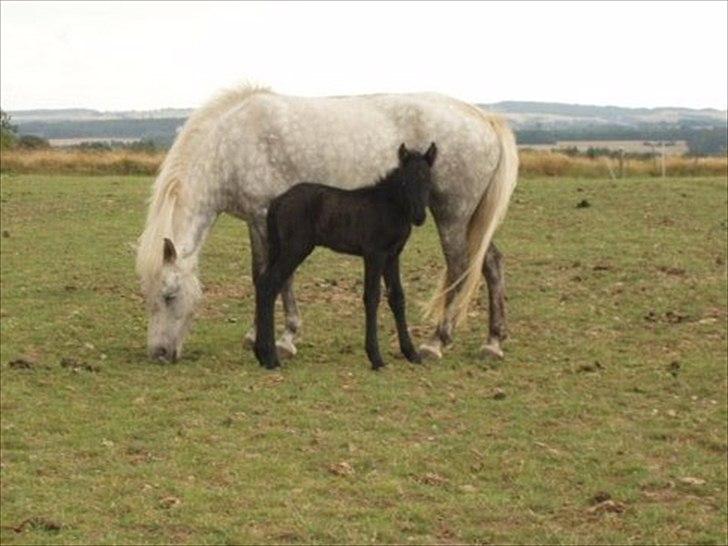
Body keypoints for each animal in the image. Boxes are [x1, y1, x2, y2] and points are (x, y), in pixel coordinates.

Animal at [256, 142, 438, 368]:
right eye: (405, 181)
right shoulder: (374, 254)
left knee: (263, 283)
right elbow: (372, 297)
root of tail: (278, 201)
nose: (419, 216)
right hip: (295, 249)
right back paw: (271, 358)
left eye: (428, 179)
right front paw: (376, 357)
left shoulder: (393, 255)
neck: (388, 206)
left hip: (278, 249)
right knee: (270, 285)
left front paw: (411, 353)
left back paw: (261, 354)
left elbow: (397, 297)